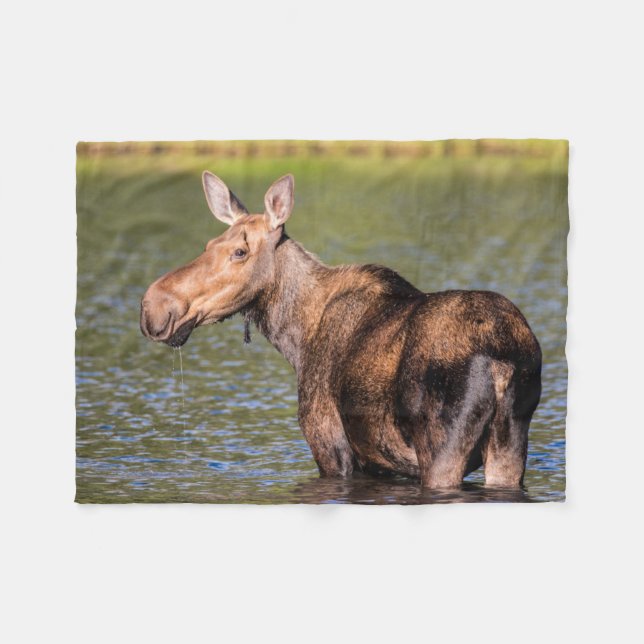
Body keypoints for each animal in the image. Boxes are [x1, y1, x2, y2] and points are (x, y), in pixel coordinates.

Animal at [141, 173, 542, 489]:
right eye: (209, 245)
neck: (295, 338)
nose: (153, 305)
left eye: (240, 251)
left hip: (442, 450)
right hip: (510, 445)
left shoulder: (330, 445)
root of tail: (504, 361)